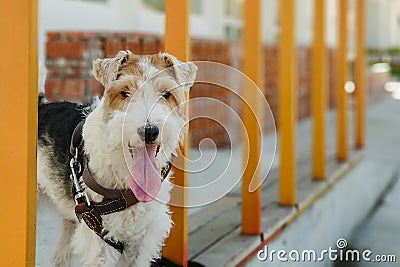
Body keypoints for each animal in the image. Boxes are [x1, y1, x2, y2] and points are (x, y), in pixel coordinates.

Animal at [38, 50, 198, 267]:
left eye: (166, 94)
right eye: (124, 92)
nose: (149, 131)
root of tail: (40, 106)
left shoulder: (141, 239)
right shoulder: (99, 238)